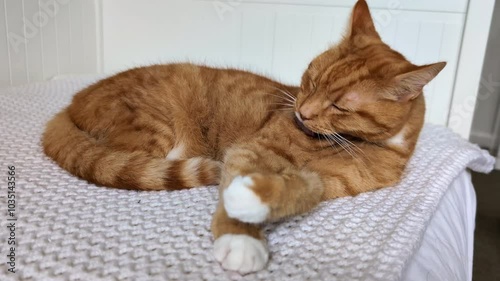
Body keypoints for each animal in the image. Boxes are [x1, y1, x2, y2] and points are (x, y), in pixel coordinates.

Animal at [44, 0, 446, 274]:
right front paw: (240, 238)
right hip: (151, 127)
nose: (302, 112)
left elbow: (297, 192)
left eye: (339, 105)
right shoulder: (253, 148)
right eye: (310, 80)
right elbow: (237, 174)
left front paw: (253, 200)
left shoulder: (324, 183)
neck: (352, 145)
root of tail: (71, 102)